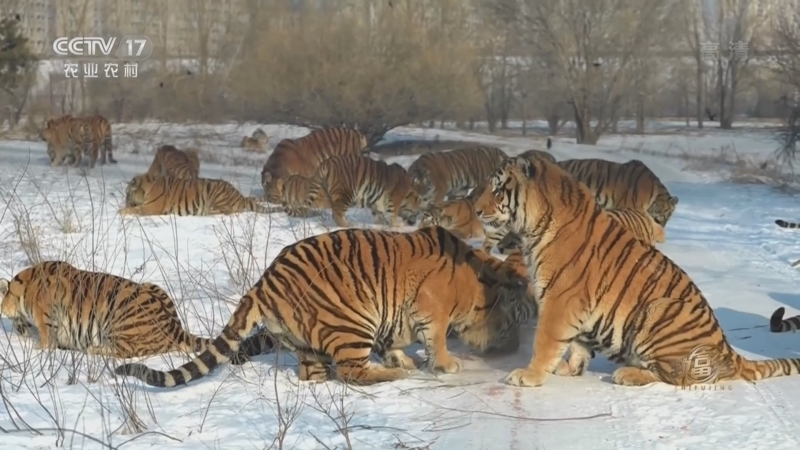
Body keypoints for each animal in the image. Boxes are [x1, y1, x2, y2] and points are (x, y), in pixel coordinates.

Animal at [0, 260, 213, 358]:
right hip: (152, 286)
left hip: (120, 320)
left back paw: (94, 349)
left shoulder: (46, 324)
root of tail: (175, 327)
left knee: (126, 351)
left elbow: (45, 343)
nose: (18, 330)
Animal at [113, 226, 532, 386]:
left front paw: (402, 357)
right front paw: (442, 364)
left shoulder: (395, 315)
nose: (513, 348)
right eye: (513, 321)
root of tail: (264, 283)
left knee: (315, 375)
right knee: (352, 372)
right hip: (353, 320)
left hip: (307, 341)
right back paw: (392, 375)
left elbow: (394, 341)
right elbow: (437, 339)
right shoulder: (431, 308)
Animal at [120, 174, 282, 216]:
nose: (125, 201)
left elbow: (134, 210)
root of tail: (240, 196)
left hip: (215, 192)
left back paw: (206, 212)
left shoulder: (152, 208)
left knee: (226, 211)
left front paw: (120, 211)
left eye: (127, 193)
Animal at [471, 155, 800, 388]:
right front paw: (570, 368)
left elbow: (545, 342)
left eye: (497, 189)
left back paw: (628, 374)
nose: (475, 210)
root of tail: (729, 350)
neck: (534, 227)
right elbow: (577, 345)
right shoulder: (574, 306)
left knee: (679, 377)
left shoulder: (560, 300)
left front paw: (529, 375)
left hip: (660, 311)